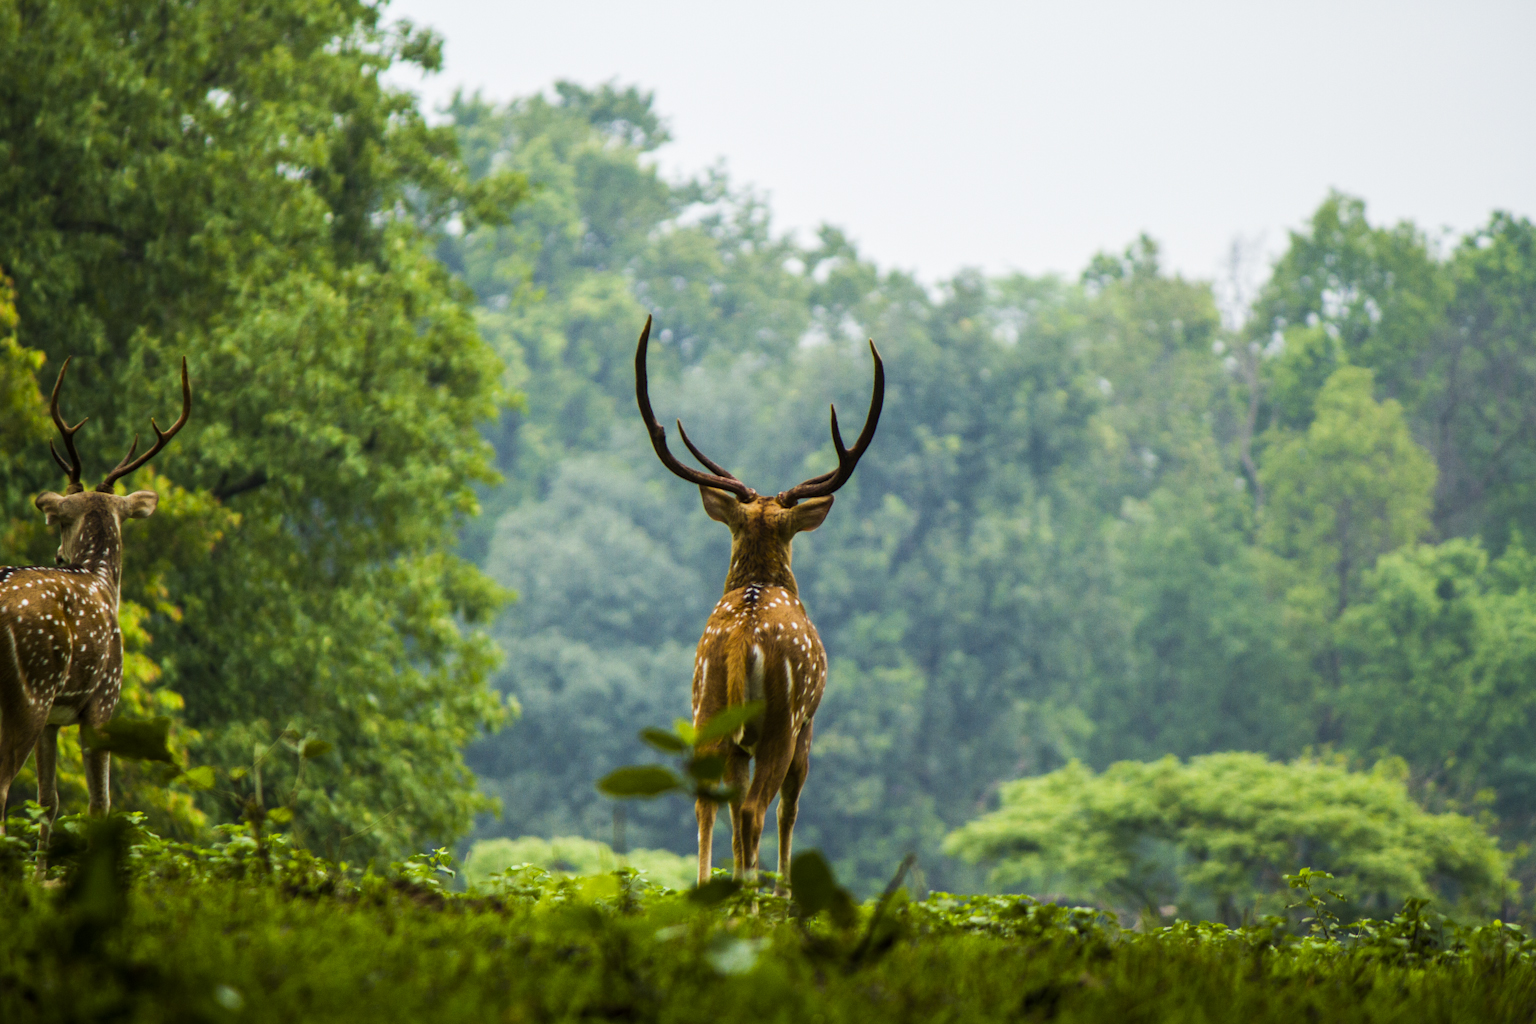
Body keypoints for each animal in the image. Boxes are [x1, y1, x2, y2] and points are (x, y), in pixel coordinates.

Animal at [0, 360, 190, 847]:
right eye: (60, 520)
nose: (58, 555)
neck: (102, 581)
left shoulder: (55, 719)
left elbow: (49, 803)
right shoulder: (105, 700)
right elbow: (99, 806)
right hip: (31, 689)